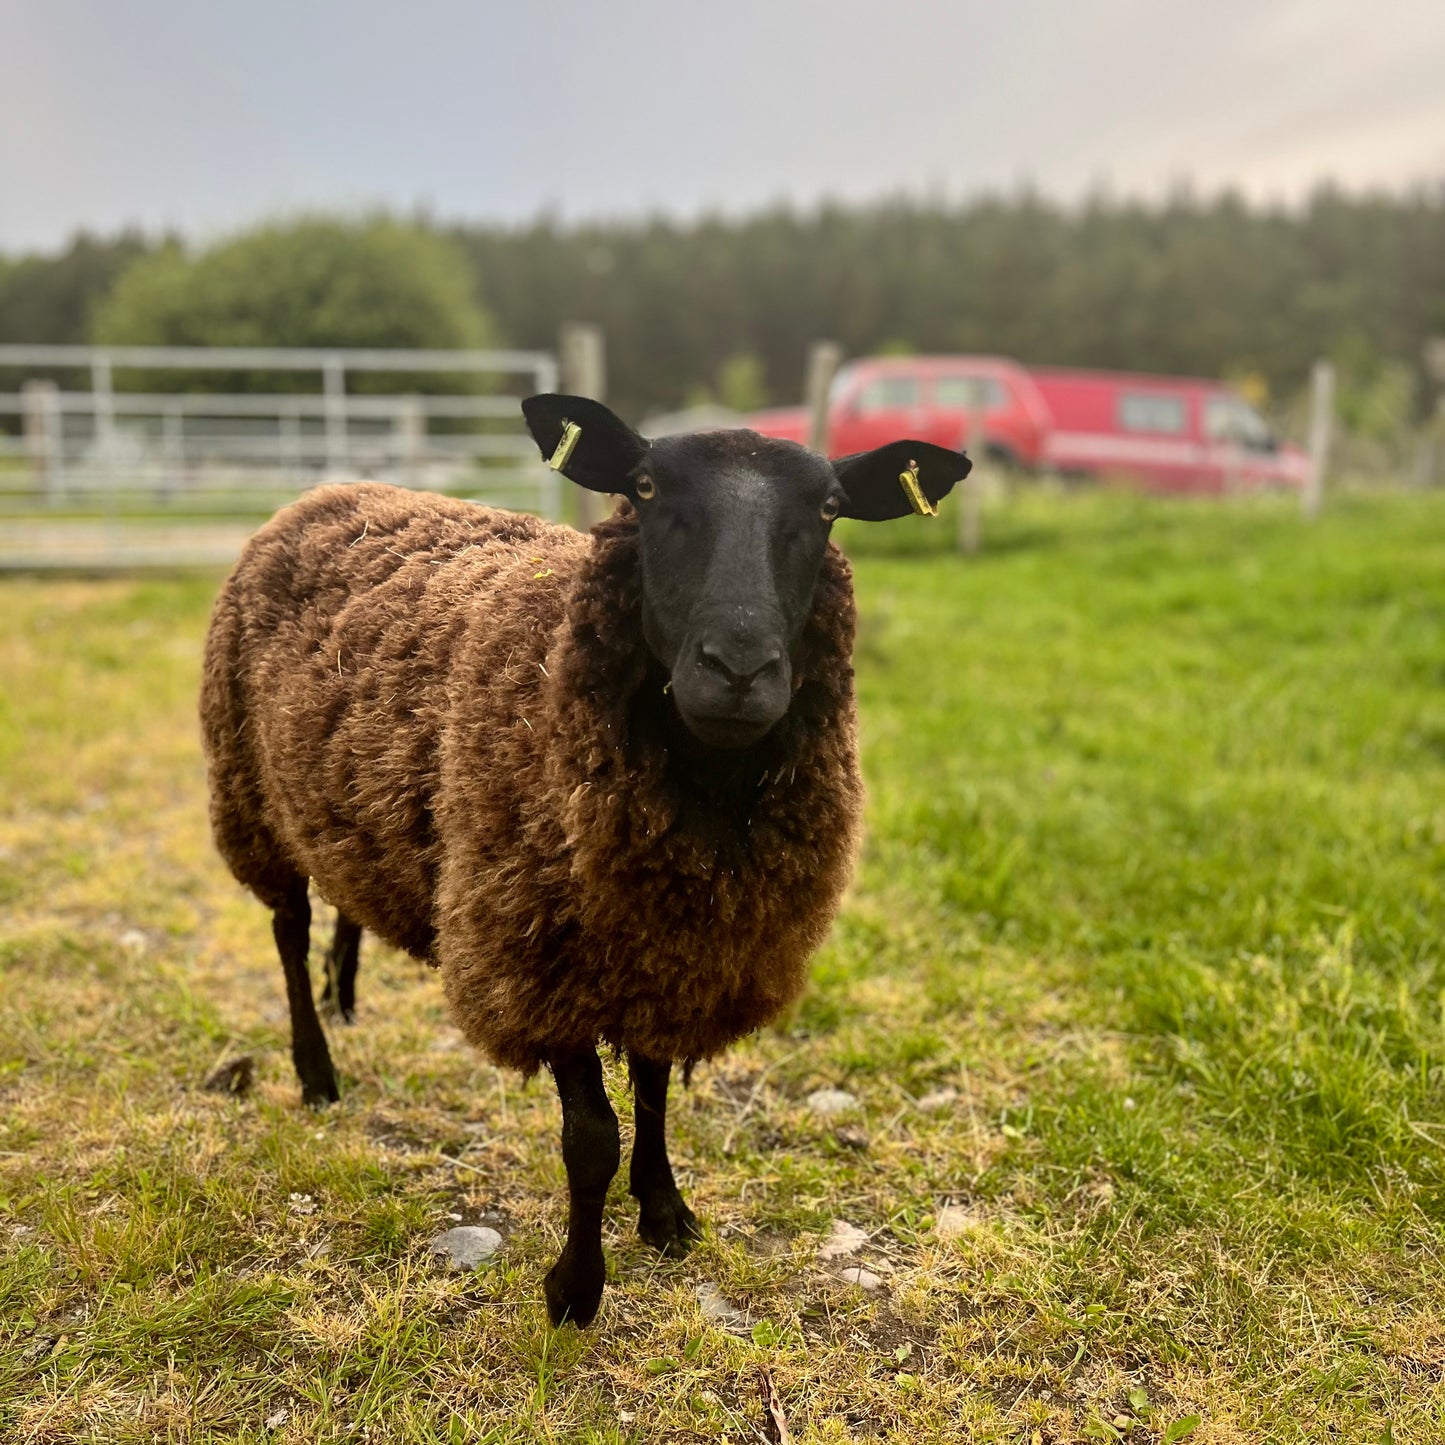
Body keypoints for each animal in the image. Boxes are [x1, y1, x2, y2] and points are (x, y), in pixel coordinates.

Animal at [200, 393, 971, 1323]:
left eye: (828, 508)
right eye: (642, 487)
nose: (737, 668)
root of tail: (323, 491)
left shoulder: (669, 949)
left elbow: (654, 1086)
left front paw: (666, 1209)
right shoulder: (538, 954)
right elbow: (592, 1136)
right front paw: (575, 1285)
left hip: (346, 801)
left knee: (344, 896)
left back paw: (343, 996)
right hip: (250, 794)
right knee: (287, 928)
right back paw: (316, 1070)